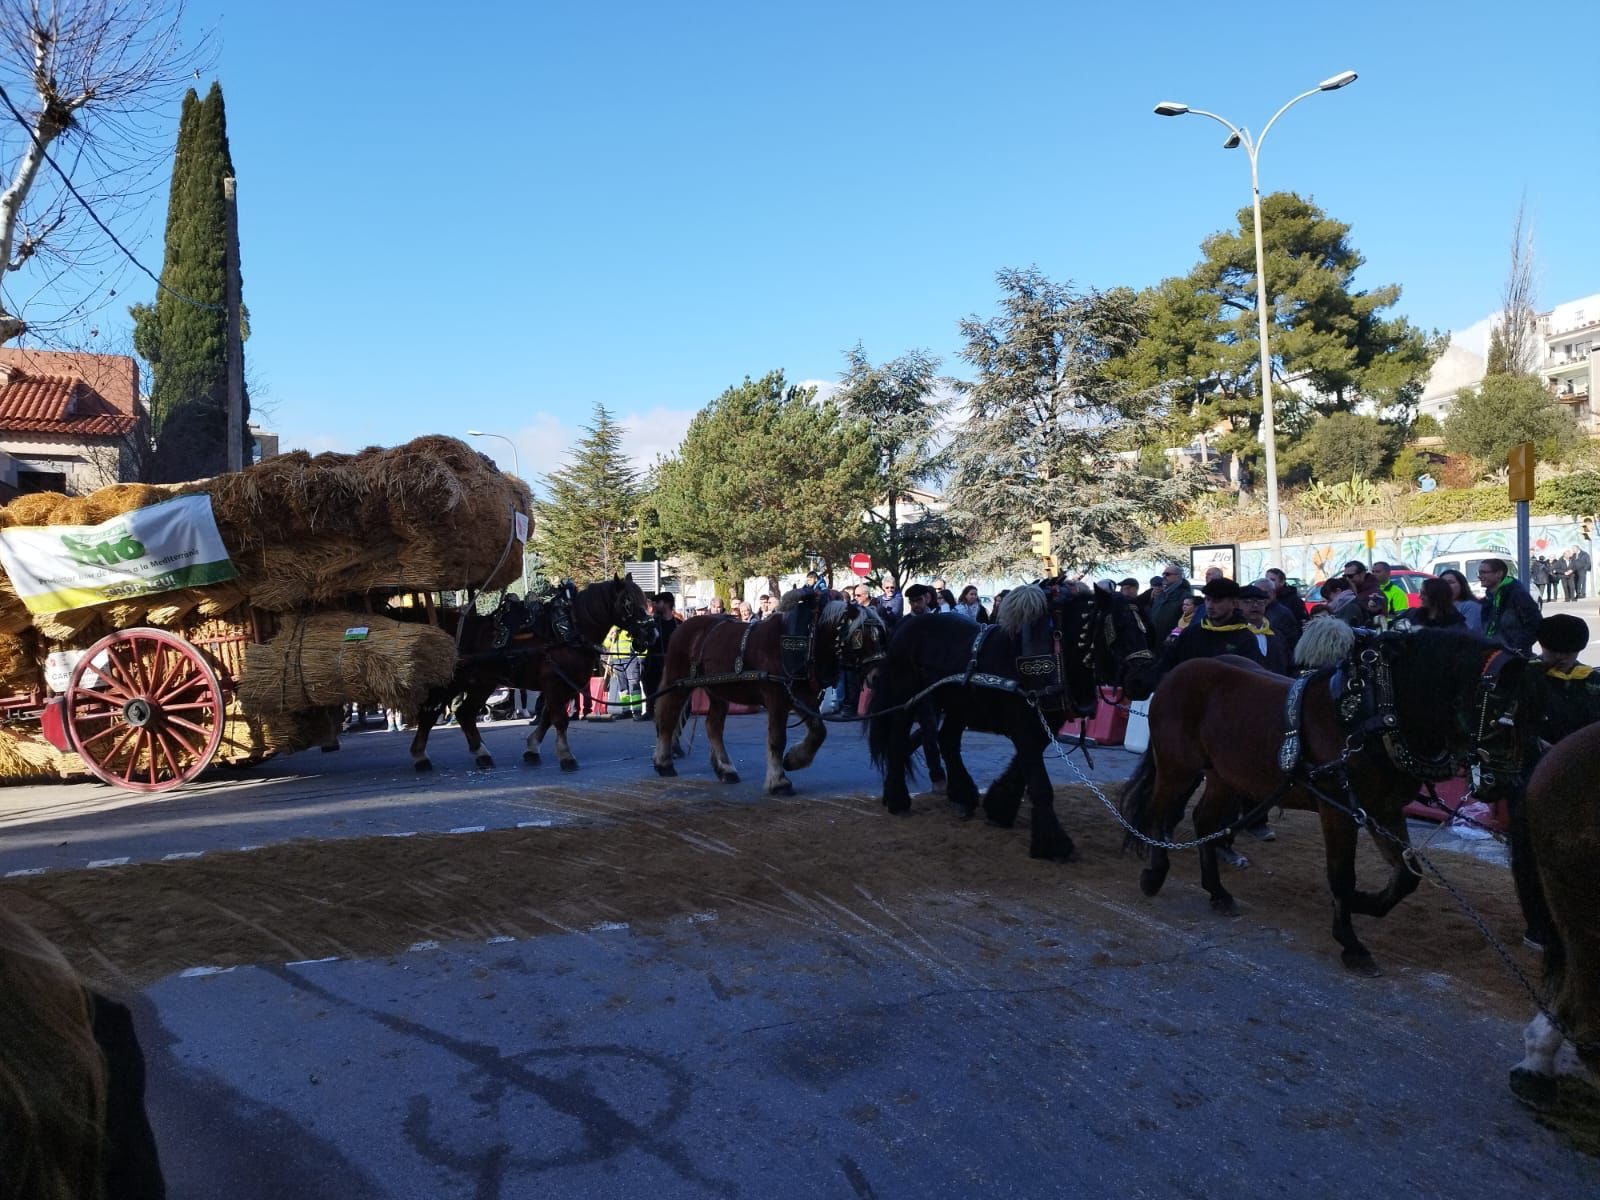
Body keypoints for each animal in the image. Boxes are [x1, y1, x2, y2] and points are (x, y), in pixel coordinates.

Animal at [409, 579, 652, 774]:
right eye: (628, 602)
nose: (652, 634)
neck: (567, 630)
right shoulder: (554, 684)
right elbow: (559, 719)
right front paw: (566, 756)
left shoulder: (567, 686)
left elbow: (547, 718)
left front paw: (532, 749)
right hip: (450, 683)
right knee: (430, 714)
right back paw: (420, 756)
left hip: (482, 683)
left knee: (464, 713)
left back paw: (481, 754)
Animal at [870, 585, 1158, 857]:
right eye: (1117, 628)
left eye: (1146, 630)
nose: (1143, 681)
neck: (1055, 655)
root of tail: (905, 626)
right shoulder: (1025, 727)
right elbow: (1040, 784)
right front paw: (1054, 844)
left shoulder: (1042, 727)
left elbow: (1022, 770)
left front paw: (1000, 808)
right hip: (908, 697)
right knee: (898, 740)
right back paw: (897, 799)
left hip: (960, 704)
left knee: (947, 740)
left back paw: (961, 796)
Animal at [1120, 630, 1542, 979]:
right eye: (1499, 714)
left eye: (1533, 714)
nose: (1508, 784)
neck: (1373, 712)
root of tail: (1178, 672)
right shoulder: (1339, 809)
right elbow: (1341, 875)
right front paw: (1351, 943)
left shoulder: (1383, 810)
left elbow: (1406, 875)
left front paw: (1364, 904)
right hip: (1178, 768)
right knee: (1159, 815)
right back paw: (1154, 874)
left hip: (1224, 775)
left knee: (1204, 821)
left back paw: (1217, 892)